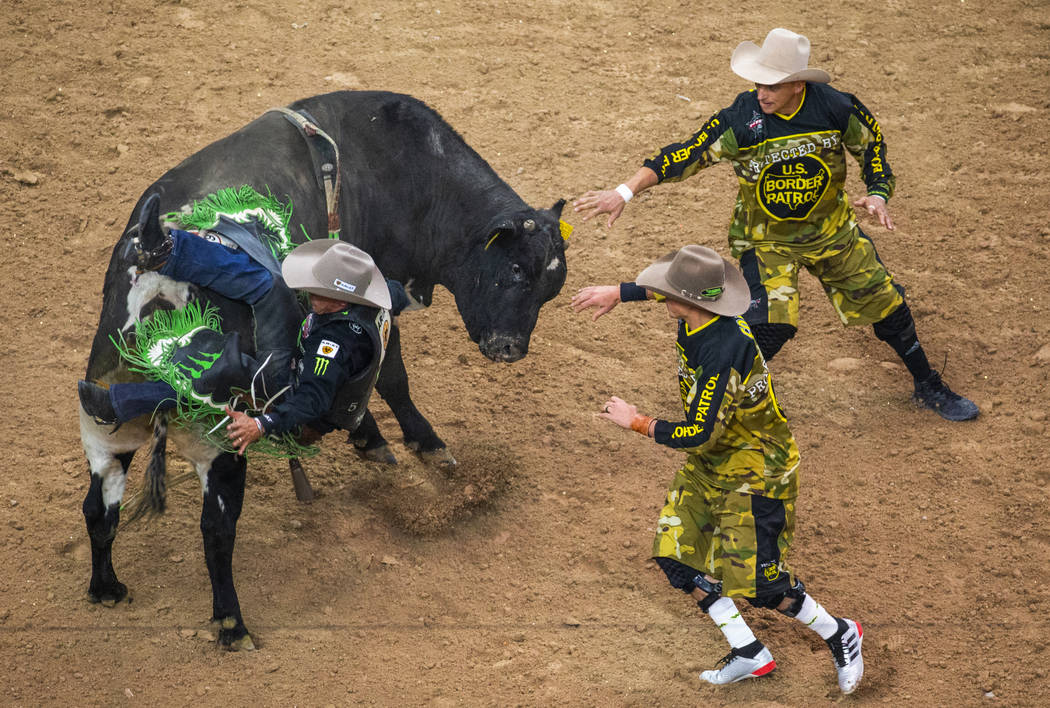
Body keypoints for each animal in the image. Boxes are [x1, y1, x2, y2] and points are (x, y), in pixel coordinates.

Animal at [79, 90, 567, 647]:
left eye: (551, 289)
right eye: (515, 269)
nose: (509, 349)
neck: (408, 171)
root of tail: (152, 280)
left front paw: (370, 437)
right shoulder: (379, 294)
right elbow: (392, 375)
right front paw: (421, 442)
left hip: (109, 436)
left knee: (99, 505)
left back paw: (106, 585)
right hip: (219, 448)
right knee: (216, 531)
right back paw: (233, 624)